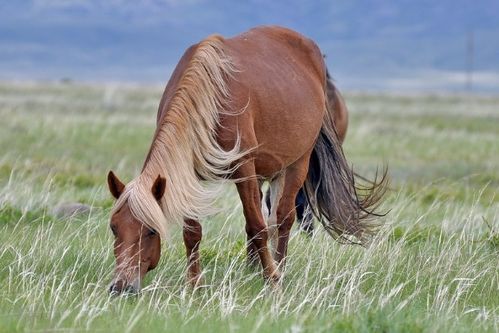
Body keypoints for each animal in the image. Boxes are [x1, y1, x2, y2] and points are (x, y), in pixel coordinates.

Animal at [105, 26, 386, 294]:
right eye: (114, 227)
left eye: (151, 230)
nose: (121, 287)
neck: (210, 100)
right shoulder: (189, 176)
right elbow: (193, 231)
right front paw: (194, 284)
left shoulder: (244, 168)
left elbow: (259, 225)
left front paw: (273, 280)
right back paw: (253, 269)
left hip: (295, 165)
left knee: (282, 220)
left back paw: (279, 268)